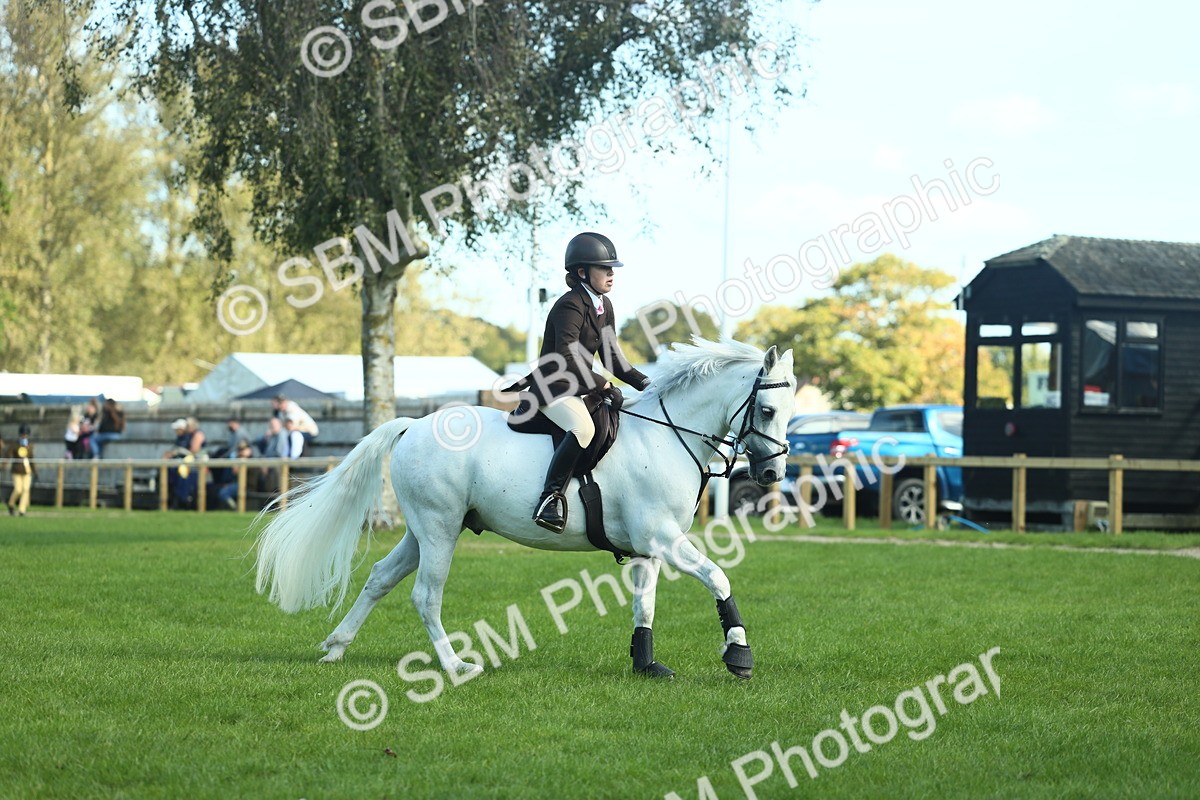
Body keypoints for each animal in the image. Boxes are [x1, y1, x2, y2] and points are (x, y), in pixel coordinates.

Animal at [253, 338, 796, 679]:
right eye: (767, 410)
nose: (771, 476)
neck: (667, 434)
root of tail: (413, 424)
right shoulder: (663, 537)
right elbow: (719, 578)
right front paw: (739, 655)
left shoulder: (648, 547)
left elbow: (645, 605)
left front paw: (646, 665)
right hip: (439, 530)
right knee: (426, 596)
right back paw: (455, 666)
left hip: (424, 531)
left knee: (381, 578)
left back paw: (336, 647)